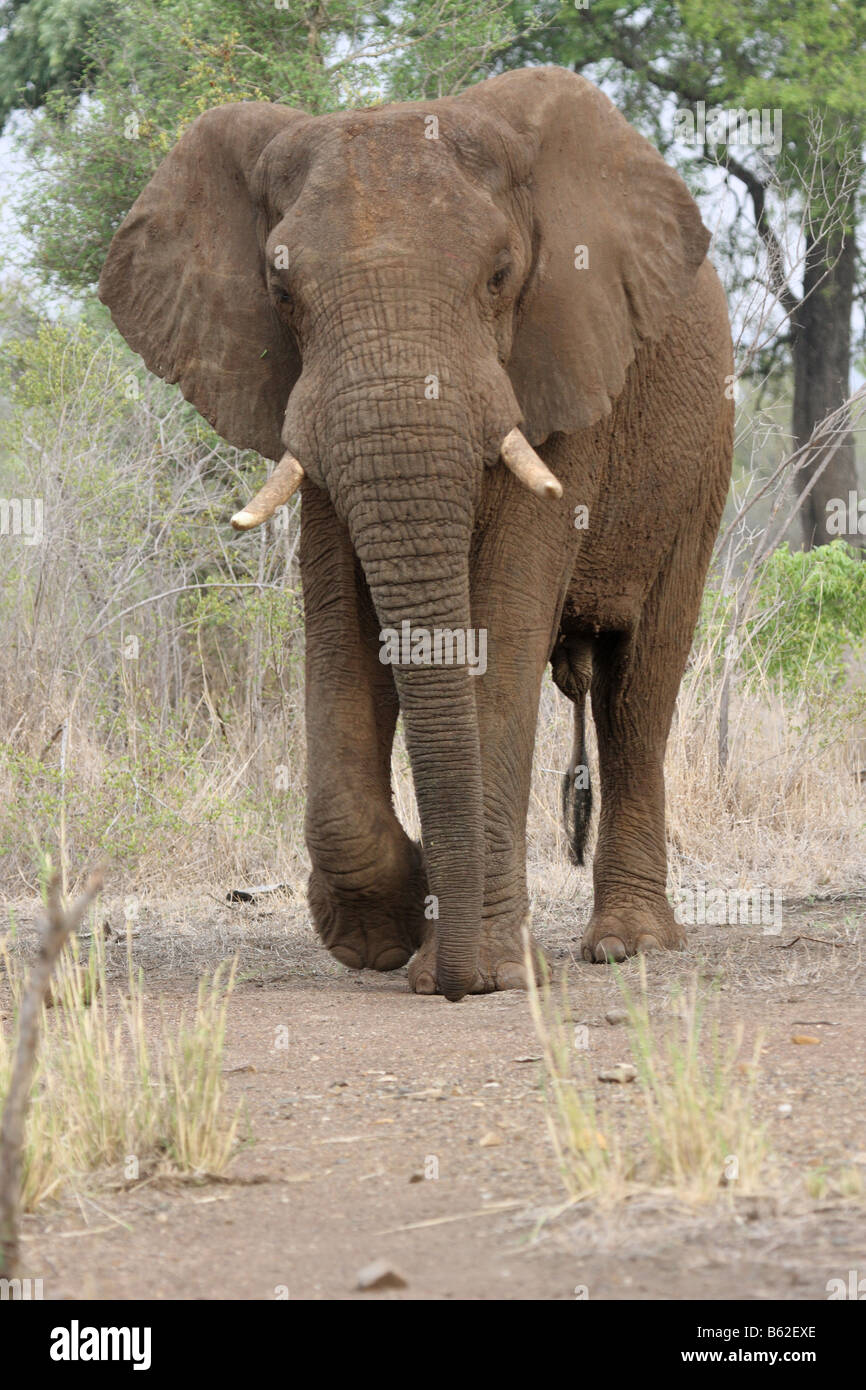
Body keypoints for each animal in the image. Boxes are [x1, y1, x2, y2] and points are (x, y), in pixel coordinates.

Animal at [97, 65, 733, 1000]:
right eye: (280, 293)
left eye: (502, 276)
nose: (454, 981)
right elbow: (341, 619)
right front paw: (378, 933)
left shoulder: (563, 367)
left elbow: (503, 620)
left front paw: (492, 968)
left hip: (701, 459)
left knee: (637, 688)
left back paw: (629, 946)